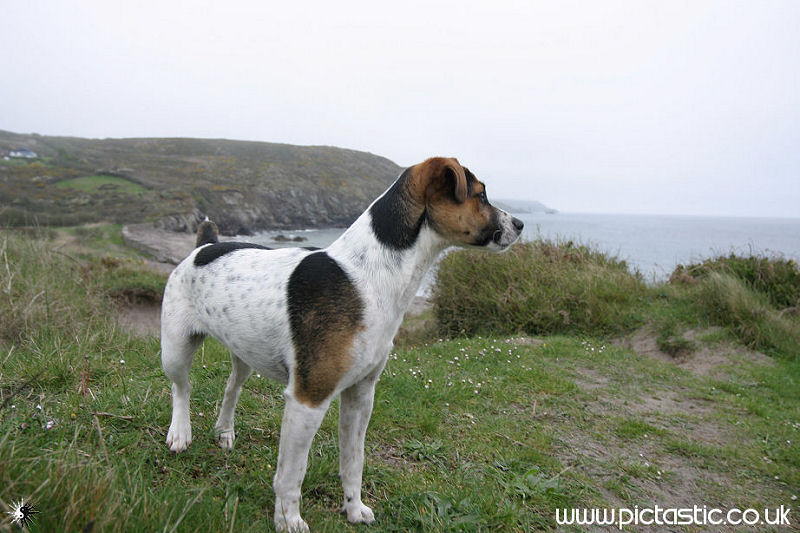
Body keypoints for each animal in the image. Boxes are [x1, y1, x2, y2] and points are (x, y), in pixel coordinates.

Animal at [159, 156, 524, 528]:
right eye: (481, 195)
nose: (521, 224)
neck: (369, 274)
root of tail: (204, 246)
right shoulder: (309, 399)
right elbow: (292, 473)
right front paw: (288, 520)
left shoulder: (360, 395)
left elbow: (353, 461)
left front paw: (353, 507)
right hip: (175, 349)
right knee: (182, 388)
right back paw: (180, 433)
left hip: (245, 353)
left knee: (231, 388)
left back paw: (224, 431)